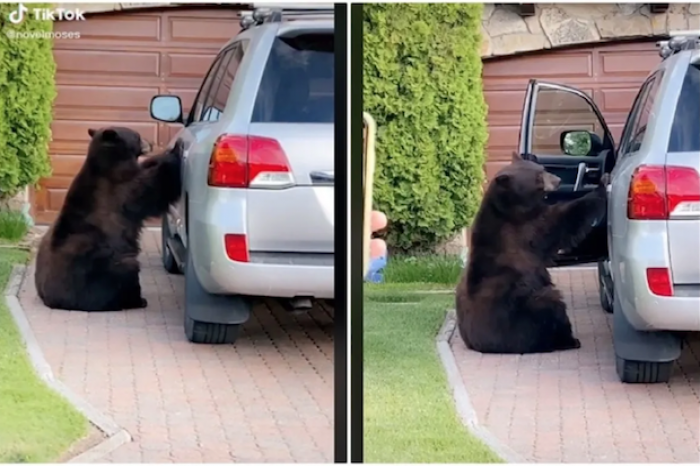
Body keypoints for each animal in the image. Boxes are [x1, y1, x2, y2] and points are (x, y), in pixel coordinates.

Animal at [35, 125, 183, 312]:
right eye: (137, 135)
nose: (150, 143)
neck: (111, 163)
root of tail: (51, 300)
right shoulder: (121, 191)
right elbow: (154, 186)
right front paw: (175, 151)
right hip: (103, 265)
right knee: (123, 273)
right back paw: (135, 300)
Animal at [456, 153, 608, 354]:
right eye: (538, 176)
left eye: (542, 168)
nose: (558, 180)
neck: (511, 207)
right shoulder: (525, 231)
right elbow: (563, 218)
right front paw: (602, 184)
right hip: (521, 312)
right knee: (550, 306)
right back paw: (566, 340)